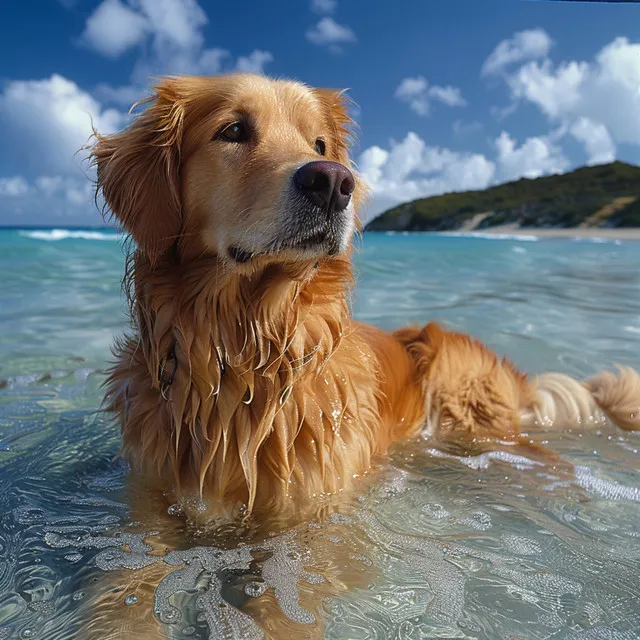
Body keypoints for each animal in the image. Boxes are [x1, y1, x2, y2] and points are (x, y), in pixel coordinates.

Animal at [89, 74, 640, 636]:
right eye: (234, 130)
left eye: (319, 145)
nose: (334, 183)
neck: (244, 358)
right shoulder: (148, 505)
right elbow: (121, 592)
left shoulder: (309, 526)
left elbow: (279, 611)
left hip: (471, 415)